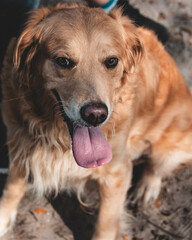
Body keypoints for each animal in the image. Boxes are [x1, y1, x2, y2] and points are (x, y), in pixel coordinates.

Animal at [0, 4, 192, 240]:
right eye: (63, 61)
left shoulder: (118, 172)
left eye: (111, 61)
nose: (96, 115)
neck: (56, 136)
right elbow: (12, 187)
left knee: (157, 166)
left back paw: (147, 187)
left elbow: (106, 222)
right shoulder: (20, 142)